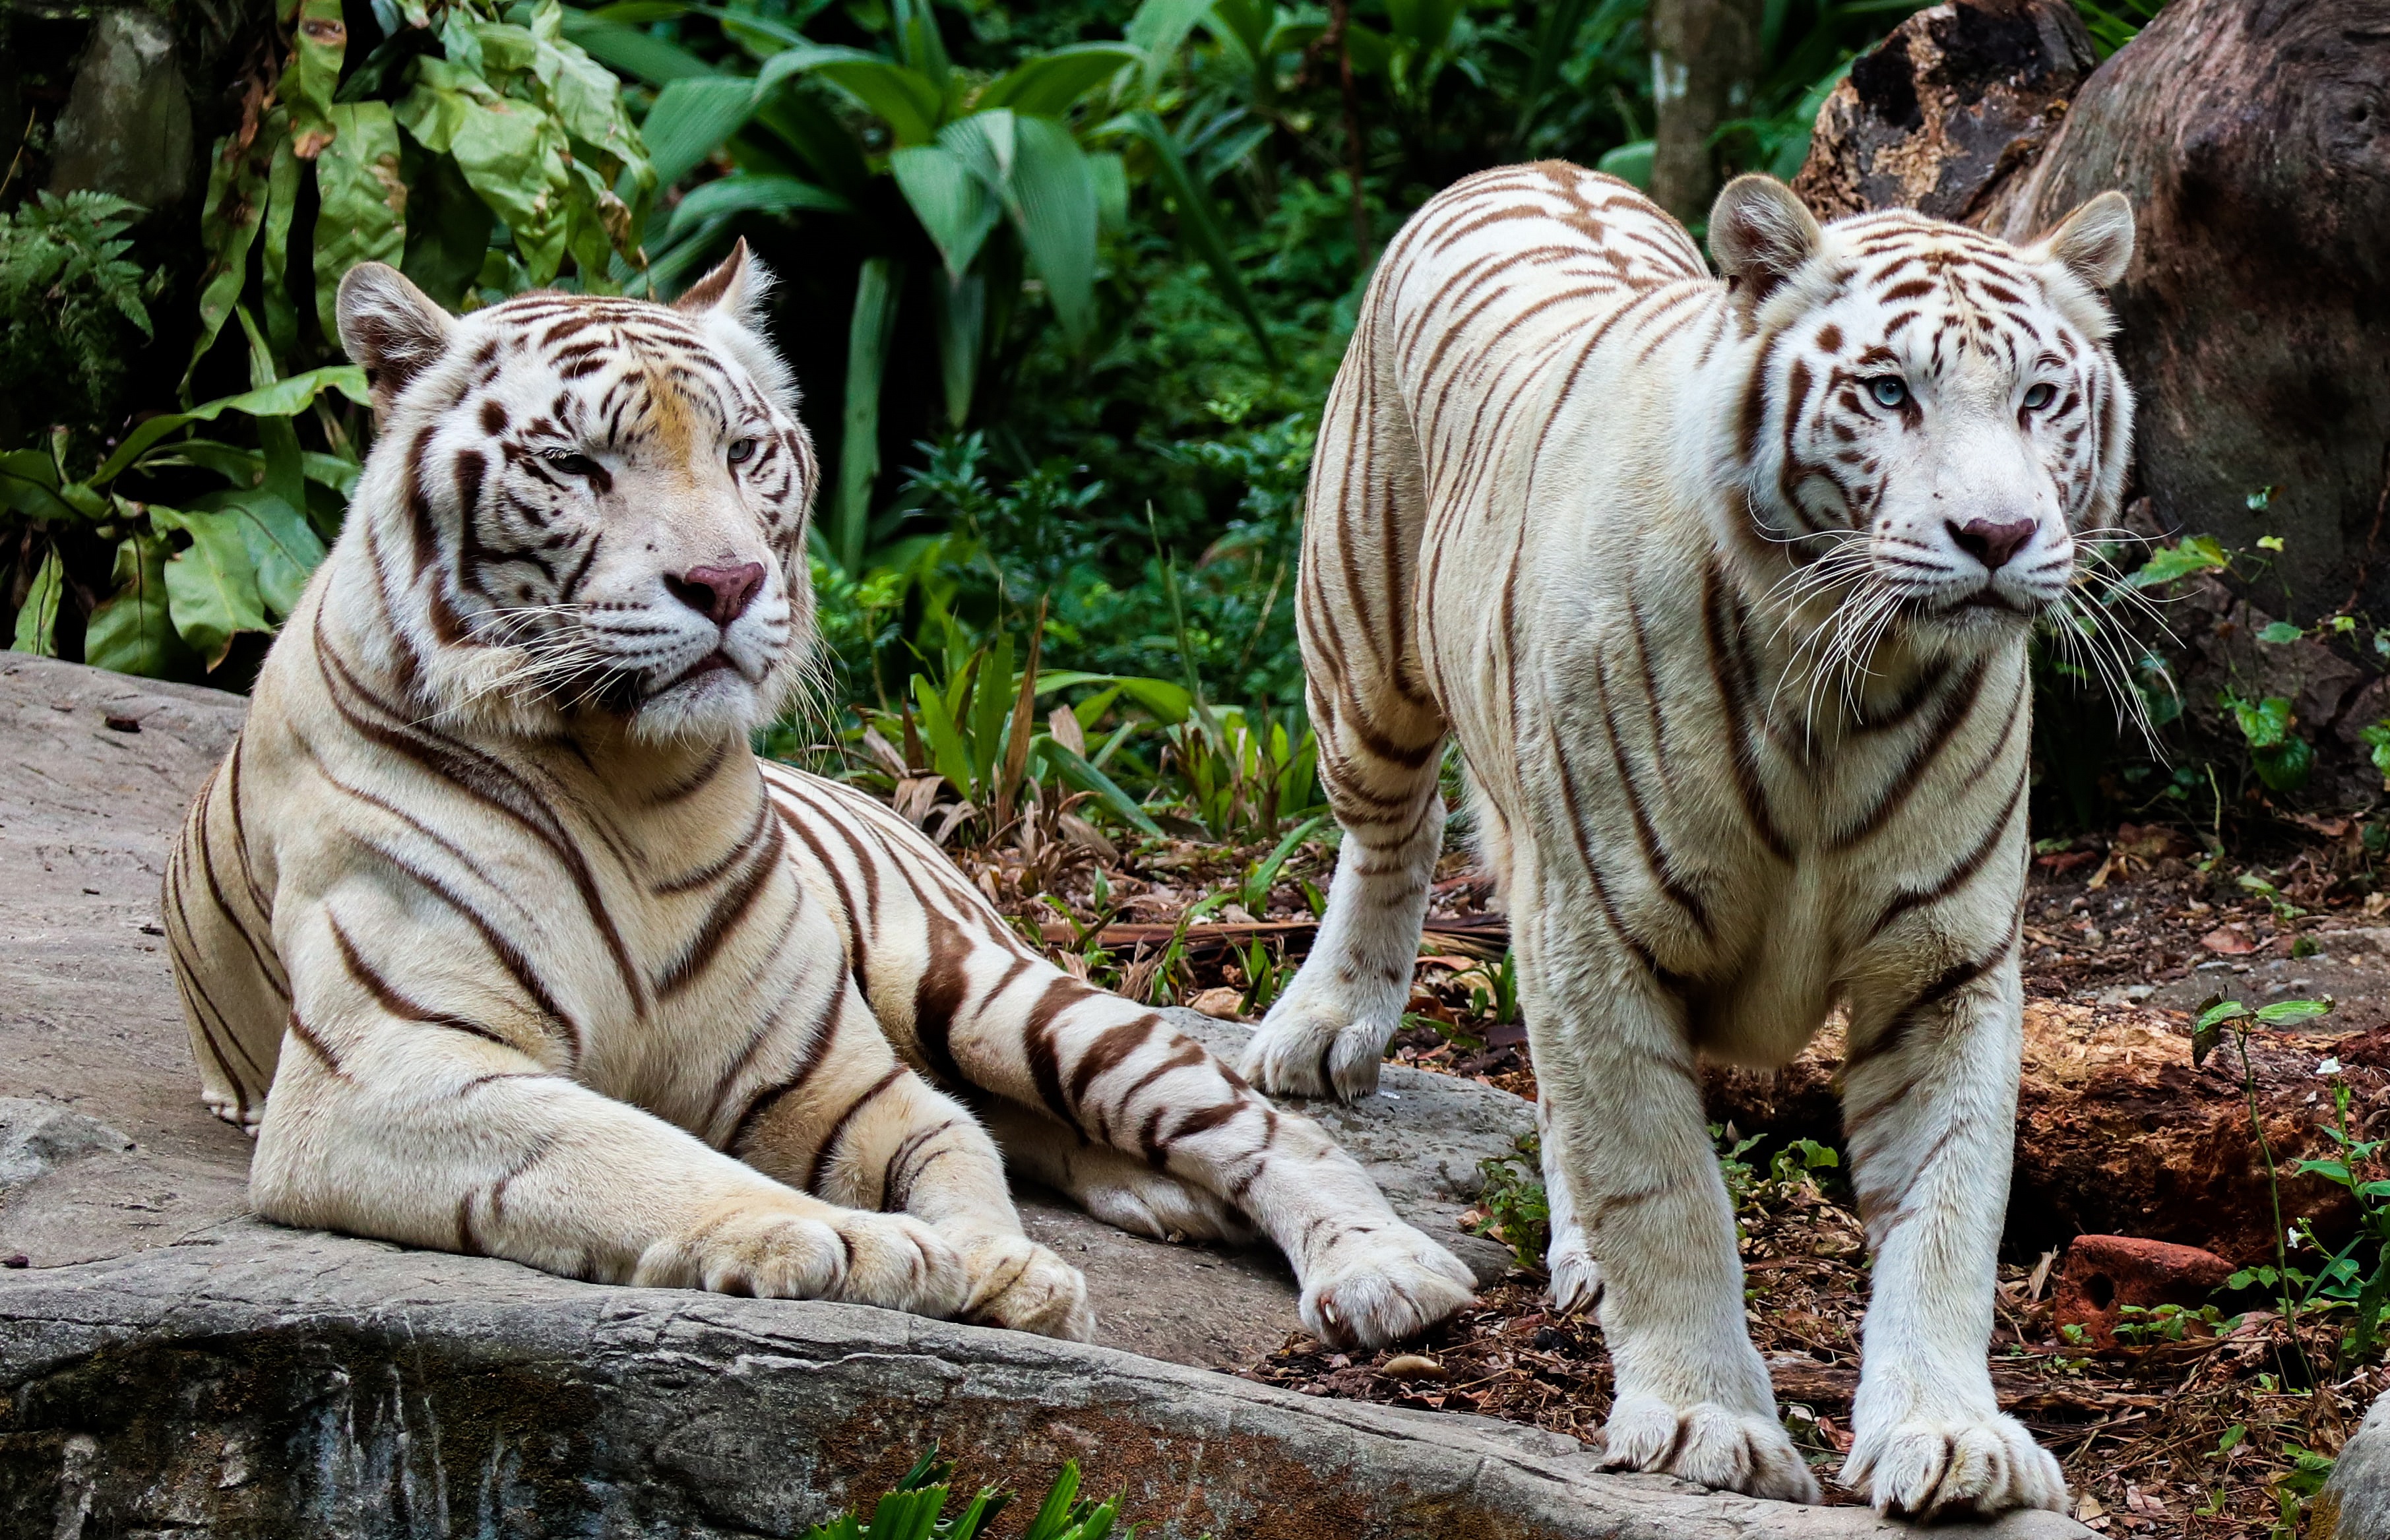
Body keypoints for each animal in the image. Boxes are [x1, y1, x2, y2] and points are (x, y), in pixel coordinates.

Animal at [158, 246, 1472, 1358]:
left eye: (744, 451)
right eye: (575, 465)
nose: (727, 581)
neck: (634, 778)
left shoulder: (829, 1074)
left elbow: (954, 1156)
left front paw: (1000, 1270)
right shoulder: (384, 1068)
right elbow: (628, 1148)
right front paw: (850, 1245)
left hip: (981, 986)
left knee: (1254, 1121)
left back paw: (1383, 1271)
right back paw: (1163, 1197)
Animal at [1242, 168, 2141, 1511]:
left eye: (2038, 397)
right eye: (1889, 391)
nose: (1995, 535)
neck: (1850, 686)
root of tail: (1533, 171)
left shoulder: (1943, 966)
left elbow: (1947, 1211)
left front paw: (1949, 1437)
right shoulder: (1600, 935)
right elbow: (1662, 1189)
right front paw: (1699, 1425)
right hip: (1358, 641)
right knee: (1388, 834)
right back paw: (1321, 1028)